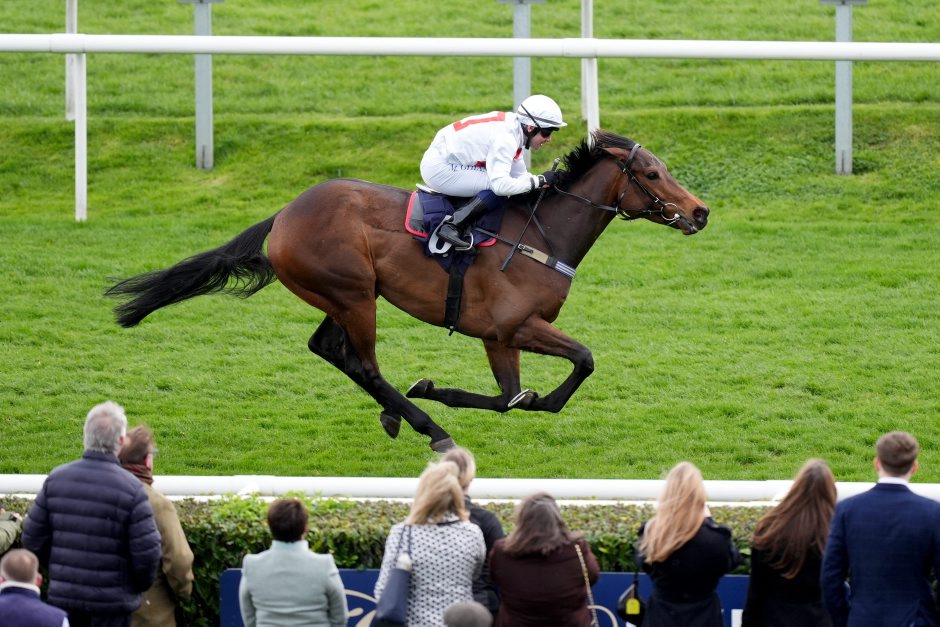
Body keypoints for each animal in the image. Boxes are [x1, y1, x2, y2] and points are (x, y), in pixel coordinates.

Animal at [106, 129, 709, 452]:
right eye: (651, 175)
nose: (700, 212)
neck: (540, 233)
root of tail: (284, 214)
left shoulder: (499, 337)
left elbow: (511, 397)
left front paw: (440, 388)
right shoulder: (511, 326)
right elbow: (578, 362)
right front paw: (435, 394)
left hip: (347, 295)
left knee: (328, 349)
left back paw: (399, 414)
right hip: (352, 294)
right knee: (364, 363)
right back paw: (427, 426)